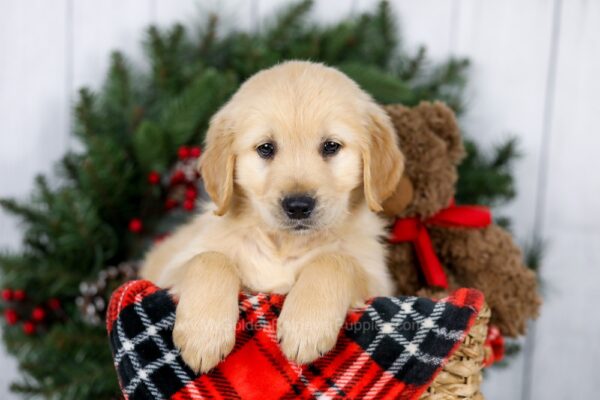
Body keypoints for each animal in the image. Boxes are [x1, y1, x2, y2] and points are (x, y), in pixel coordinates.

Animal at [140, 61, 404, 374]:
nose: (298, 206)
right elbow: (210, 259)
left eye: (331, 146)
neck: (284, 245)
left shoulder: (379, 281)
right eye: (266, 148)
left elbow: (336, 260)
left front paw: (306, 326)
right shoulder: (170, 271)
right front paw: (203, 335)